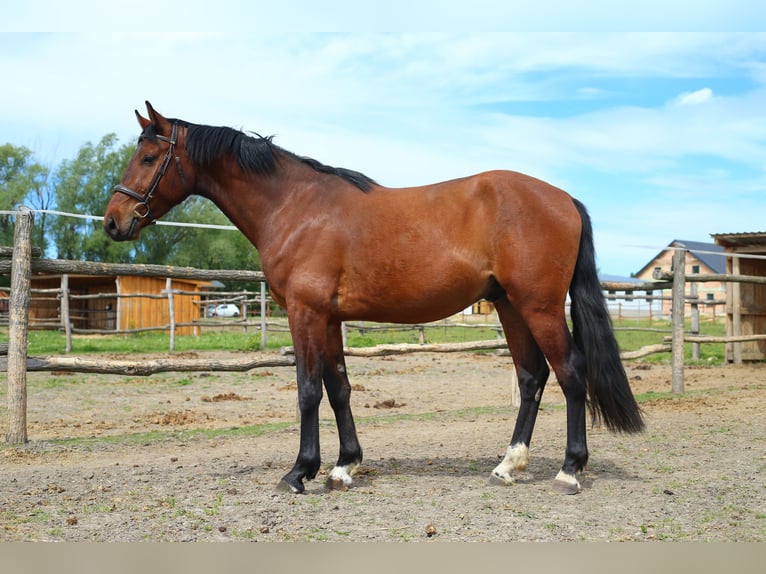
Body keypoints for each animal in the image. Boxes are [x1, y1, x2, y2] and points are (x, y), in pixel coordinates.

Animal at [104, 102, 644, 495]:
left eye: (149, 158)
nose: (113, 221)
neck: (295, 206)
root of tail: (564, 199)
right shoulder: (328, 318)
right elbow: (339, 387)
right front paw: (344, 466)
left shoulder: (304, 313)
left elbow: (307, 390)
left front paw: (299, 472)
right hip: (510, 305)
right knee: (532, 376)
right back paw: (508, 464)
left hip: (540, 306)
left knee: (571, 372)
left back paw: (569, 469)